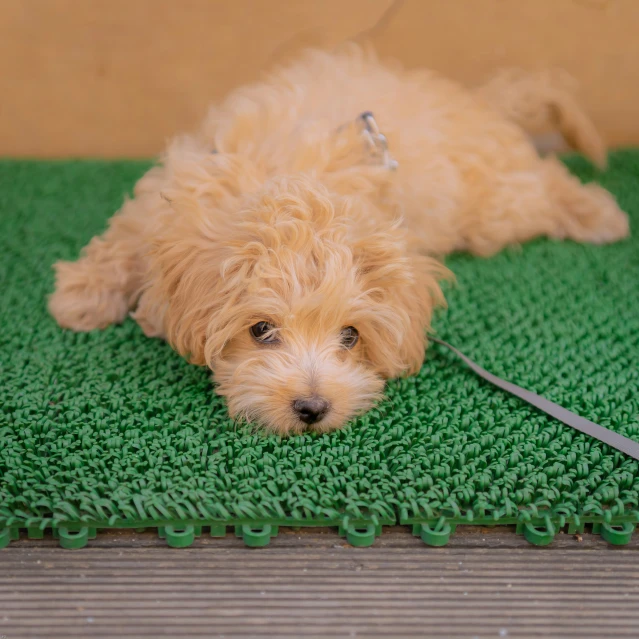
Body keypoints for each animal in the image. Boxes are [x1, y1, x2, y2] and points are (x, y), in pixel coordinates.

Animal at [48, 46, 632, 436]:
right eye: (261, 330)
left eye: (350, 336)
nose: (312, 408)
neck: (287, 179)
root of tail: (476, 101)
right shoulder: (169, 197)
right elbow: (125, 238)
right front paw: (80, 297)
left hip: (494, 206)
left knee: (544, 183)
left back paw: (599, 213)